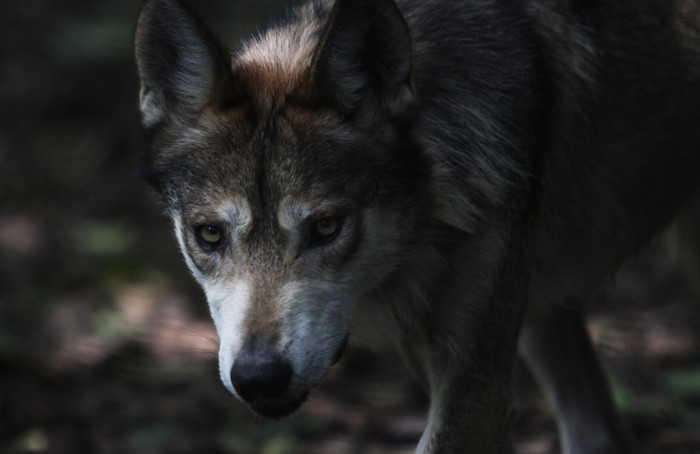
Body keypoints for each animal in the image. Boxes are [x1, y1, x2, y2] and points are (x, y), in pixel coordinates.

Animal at [134, 0, 700, 450]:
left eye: (326, 227)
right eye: (210, 234)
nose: (259, 378)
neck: (433, 228)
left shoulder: (476, 388)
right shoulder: (456, 377)